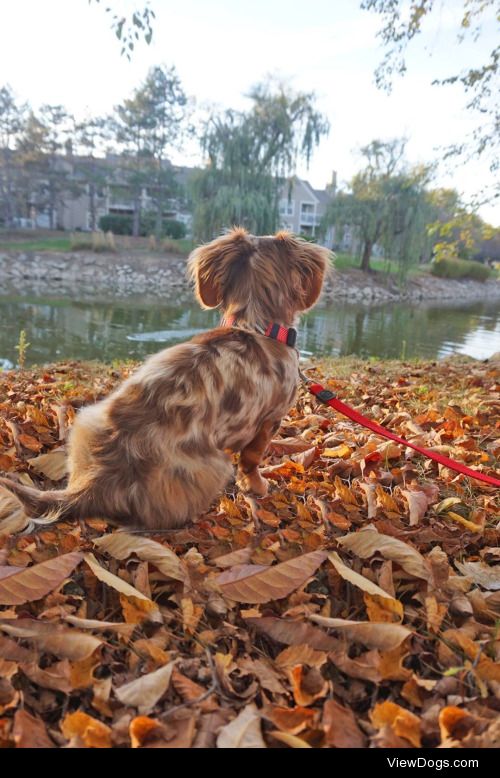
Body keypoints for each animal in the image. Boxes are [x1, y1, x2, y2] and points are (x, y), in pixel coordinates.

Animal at [0, 226, 330, 528]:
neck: (256, 324)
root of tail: (97, 480)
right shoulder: (269, 421)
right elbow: (251, 460)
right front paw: (258, 486)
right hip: (214, 463)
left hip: (87, 420)